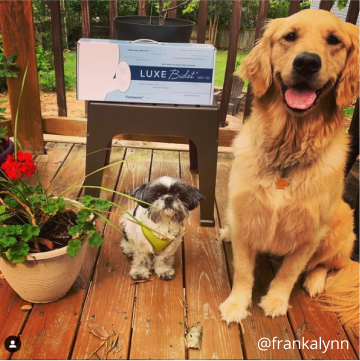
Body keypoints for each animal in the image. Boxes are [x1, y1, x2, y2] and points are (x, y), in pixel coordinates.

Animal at [219, 9, 360, 324]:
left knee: (326, 264)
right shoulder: (246, 215)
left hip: (342, 224)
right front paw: (236, 304)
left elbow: (289, 271)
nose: (307, 62)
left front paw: (276, 300)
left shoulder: (311, 232)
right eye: (290, 36)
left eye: (334, 40)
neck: (288, 151)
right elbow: (243, 271)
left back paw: (315, 281)